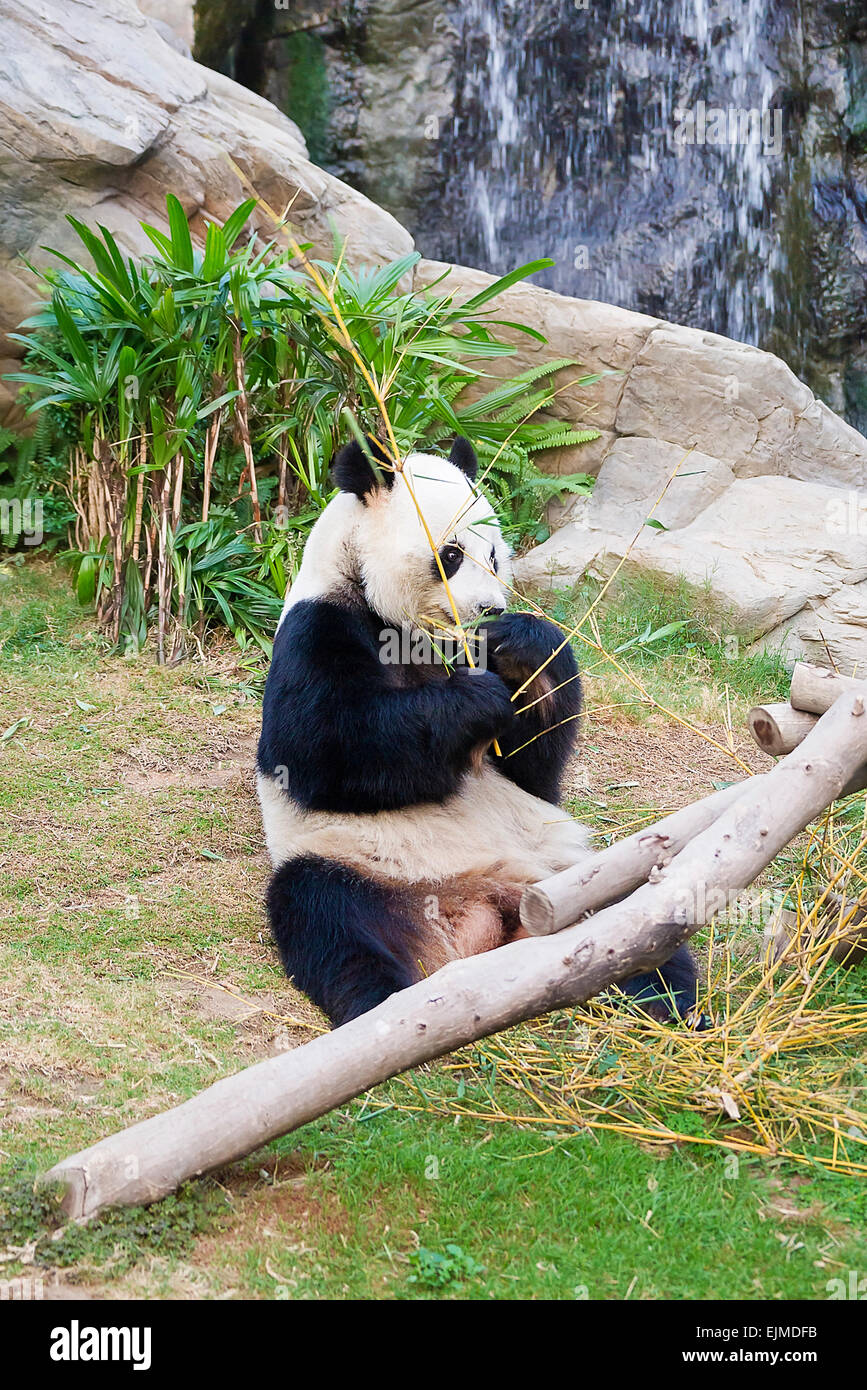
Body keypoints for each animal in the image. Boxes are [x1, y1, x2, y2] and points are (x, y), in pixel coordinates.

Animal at [252, 439, 697, 1028]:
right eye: (452, 554)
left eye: (495, 555)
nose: (491, 608)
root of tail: (482, 914)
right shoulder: (318, 626)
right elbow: (323, 749)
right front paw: (476, 701)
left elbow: (532, 769)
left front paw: (521, 645)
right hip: (353, 864)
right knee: (329, 922)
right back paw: (382, 1007)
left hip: (576, 876)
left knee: (638, 919)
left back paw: (674, 1005)